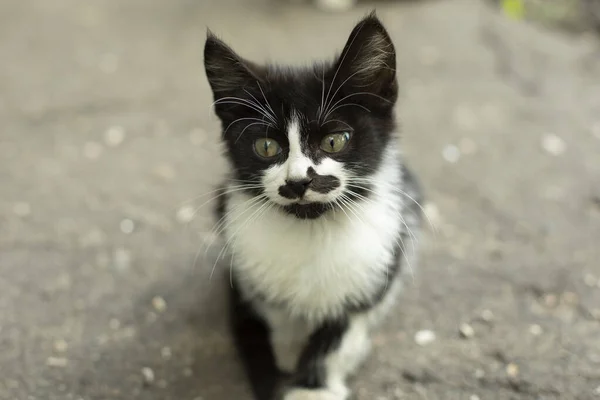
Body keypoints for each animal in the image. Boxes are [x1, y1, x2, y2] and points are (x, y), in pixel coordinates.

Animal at [204, 12, 424, 400]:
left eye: (335, 141)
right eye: (266, 147)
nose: (298, 182)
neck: (312, 229)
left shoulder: (380, 266)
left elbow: (341, 329)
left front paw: (313, 386)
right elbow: (272, 309)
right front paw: (289, 347)